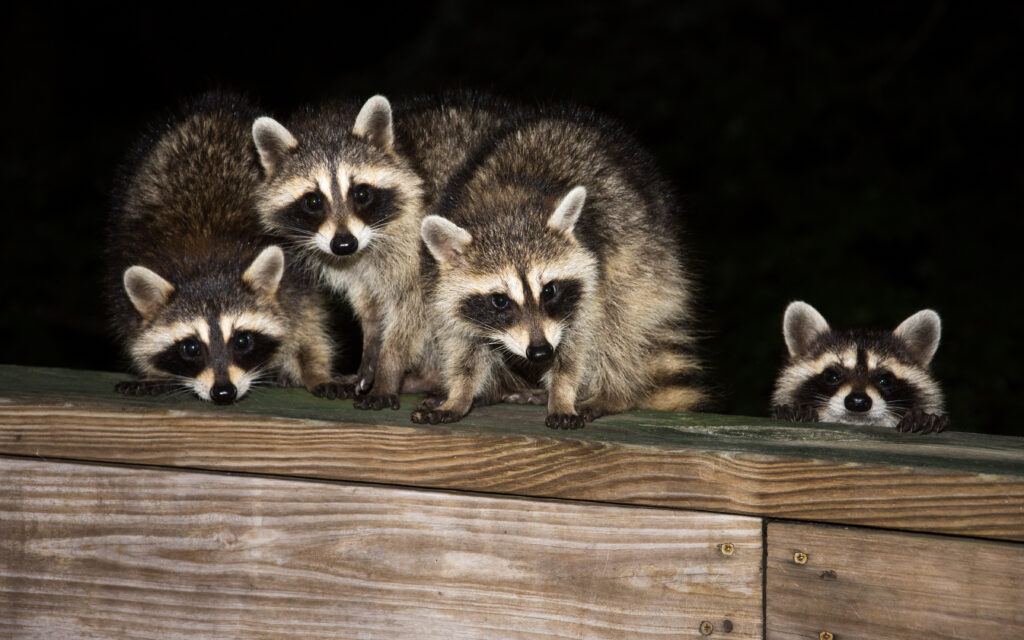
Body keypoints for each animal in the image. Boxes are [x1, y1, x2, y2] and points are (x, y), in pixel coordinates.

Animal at [106, 93, 342, 403]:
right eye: (191, 348)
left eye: (242, 340)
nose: (223, 392)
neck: (206, 261)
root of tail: (215, 105)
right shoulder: (127, 276)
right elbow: (136, 334)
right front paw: (153, 372)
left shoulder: (295, 277)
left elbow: (308, 323)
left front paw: (314, 369)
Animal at [411, 107, 708, 430]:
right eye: (499, 300)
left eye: (549, 290)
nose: (540, 352)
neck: (506, 210)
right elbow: (463, 342)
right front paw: (459, 394)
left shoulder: (592, 278)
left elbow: (577, 343)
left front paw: (563, 393)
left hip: (645, 256)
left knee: (622, 322)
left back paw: (613, 393)